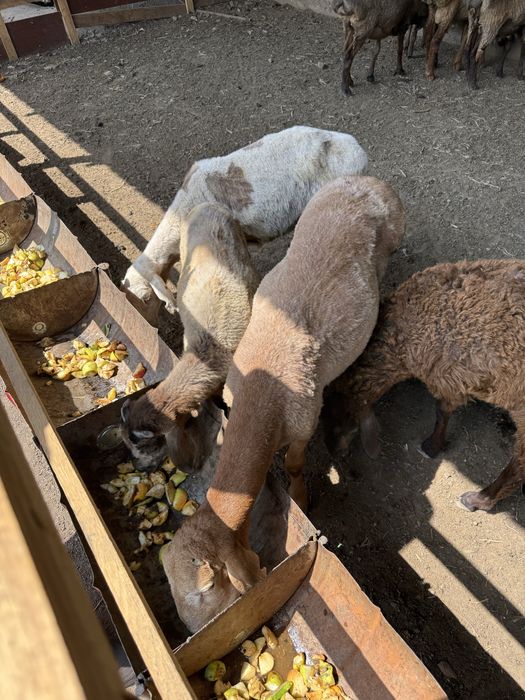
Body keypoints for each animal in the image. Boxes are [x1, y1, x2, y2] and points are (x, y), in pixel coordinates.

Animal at [161, 176, 406, 632]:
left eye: (208, 588)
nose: (196, 631)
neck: (262, 396)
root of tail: (367, 182)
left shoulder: (304, 421)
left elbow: (293, 464)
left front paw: (303, 498)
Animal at [324, 259, 525, 513]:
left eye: (346, 426)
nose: (333, 451)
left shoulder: (447, 377)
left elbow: (442, 411)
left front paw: (431, 446)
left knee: (519, 464)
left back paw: (478, 499)